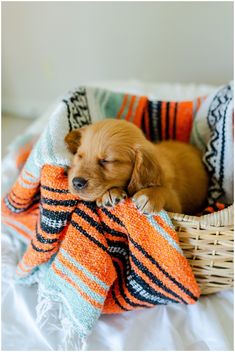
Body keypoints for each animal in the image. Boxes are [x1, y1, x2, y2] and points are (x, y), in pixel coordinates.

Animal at [63, 119, 207, 214]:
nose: (76, 183)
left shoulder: (177, 206)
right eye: (80, 156)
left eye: (106, 161)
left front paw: (149, 196)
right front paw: (109, 193)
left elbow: (166, 191)